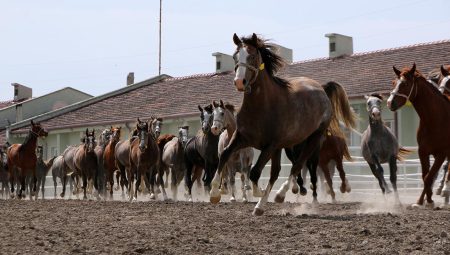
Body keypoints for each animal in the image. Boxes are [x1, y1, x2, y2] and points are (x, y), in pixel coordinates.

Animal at [210, 32, 356, 215]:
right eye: (235, 56)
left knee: (297, 165)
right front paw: (214, 193)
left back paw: (280, 194)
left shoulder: (270, 145)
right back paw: (262, 205)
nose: (239, 82)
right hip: (287, 146)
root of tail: (321, 90)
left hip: (312, 140)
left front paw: (257, 192)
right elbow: (224, 155)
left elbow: (255, 172)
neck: (262, 106)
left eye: (252, 55)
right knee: (278, 171)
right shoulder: (241, 138)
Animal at [384, 63, 450, 207]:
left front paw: (429, 200)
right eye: (394, 83)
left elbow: (429, 176)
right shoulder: (423, 152)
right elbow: (426, 176)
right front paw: (424, 200)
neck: (436, 119)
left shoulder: (442, 153)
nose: (390, 102)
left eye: (405, 83)